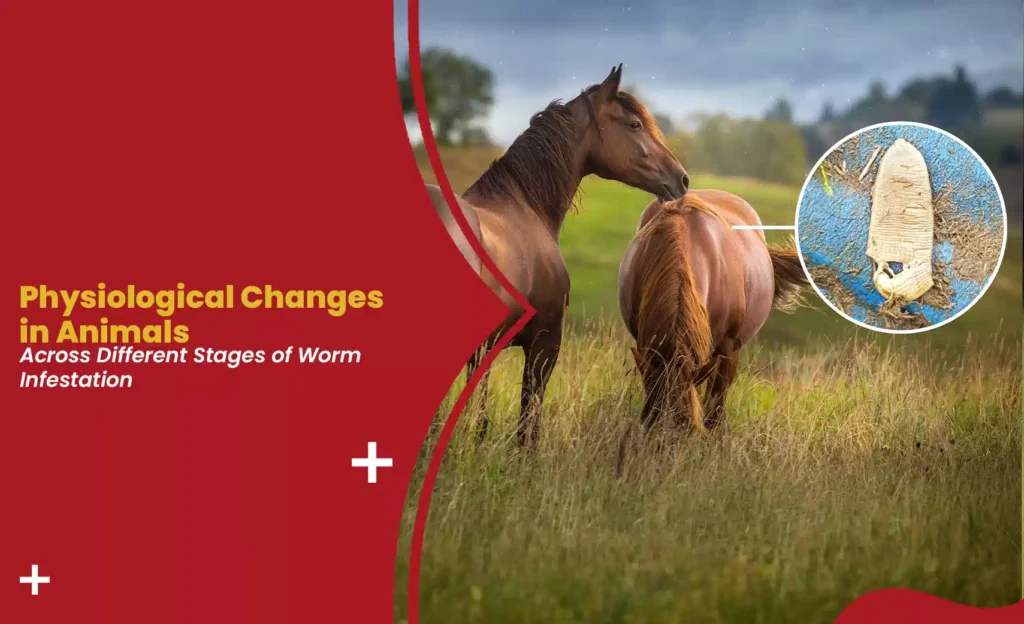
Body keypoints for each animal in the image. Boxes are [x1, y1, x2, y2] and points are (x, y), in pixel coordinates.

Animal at [427, 64, 690, 446]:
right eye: (635, 124)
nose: (681, 179)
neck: (524, 206)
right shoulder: (545, 344)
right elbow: (527, 426)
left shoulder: (485, 353)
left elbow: (480, 420)